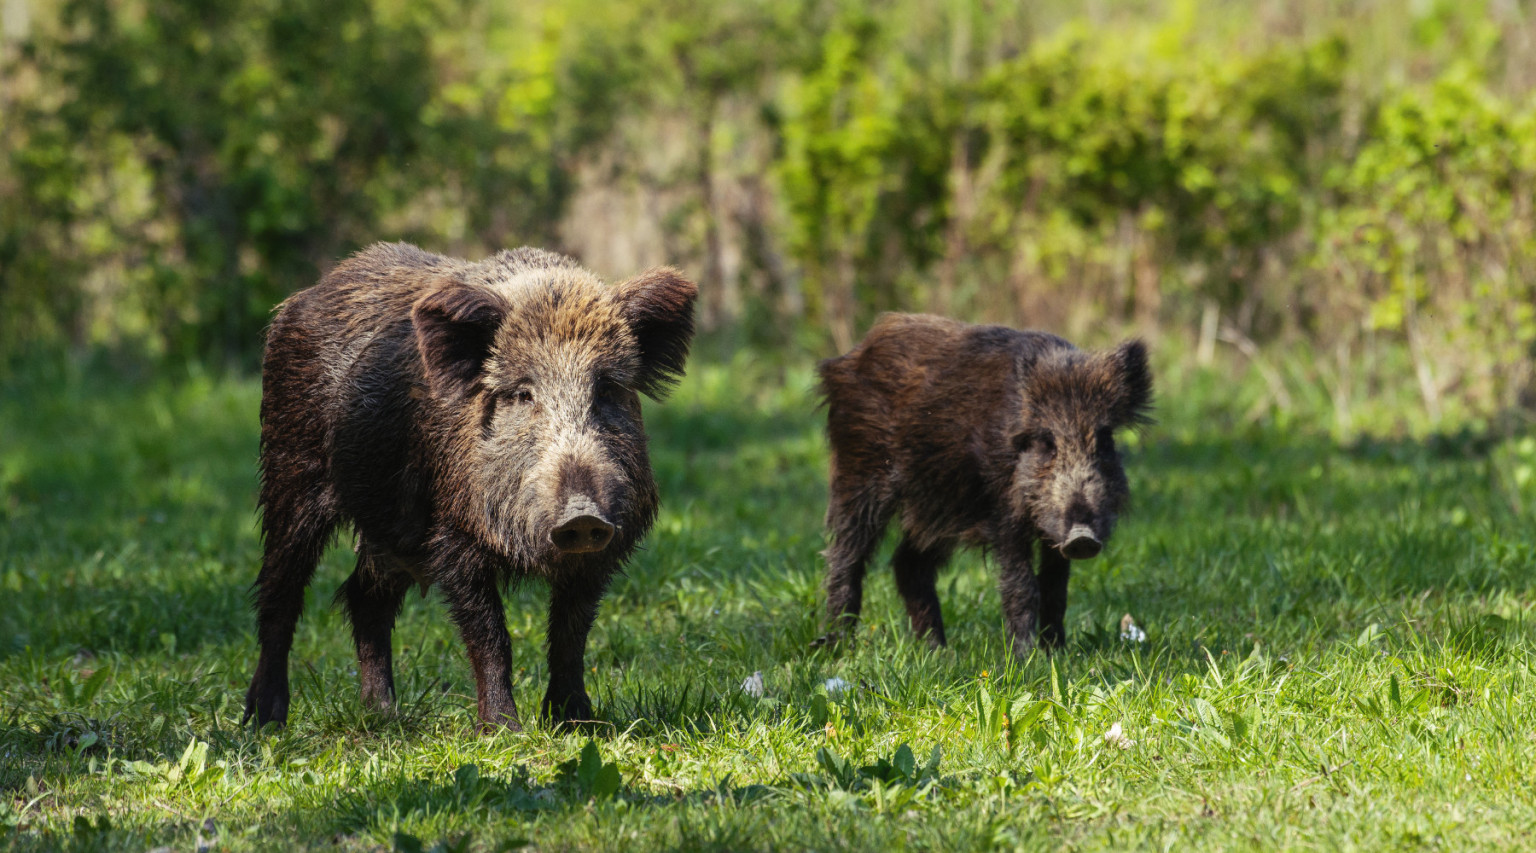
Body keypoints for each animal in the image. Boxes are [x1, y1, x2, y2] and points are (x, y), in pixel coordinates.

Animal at [243, 242, 696, 731]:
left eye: (607, 389)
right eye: (522, 394)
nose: (582, 515)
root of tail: (301, 299)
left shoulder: (601, 550)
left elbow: (571, 635)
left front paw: (577, 724)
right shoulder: (453, 533)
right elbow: (491, 635)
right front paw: (503, 730)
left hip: (391, 530)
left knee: (364, 597)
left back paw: (384, 715)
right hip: (290, 469)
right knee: (280, 593)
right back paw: (264, 721)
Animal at [814, 313, 1151, 655]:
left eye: (1104, 440)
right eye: (1046, 442)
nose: (1082, 537)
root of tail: (846, 359)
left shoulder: (1052, 533)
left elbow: (1055, 588)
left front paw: (1057, 653)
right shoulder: (1002, 513)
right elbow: (1022, 585)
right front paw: (1027, 658)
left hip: (937, 506)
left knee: (908, 564)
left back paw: (938, 653)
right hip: (858, 473)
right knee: (846, 557)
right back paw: (837, 646)